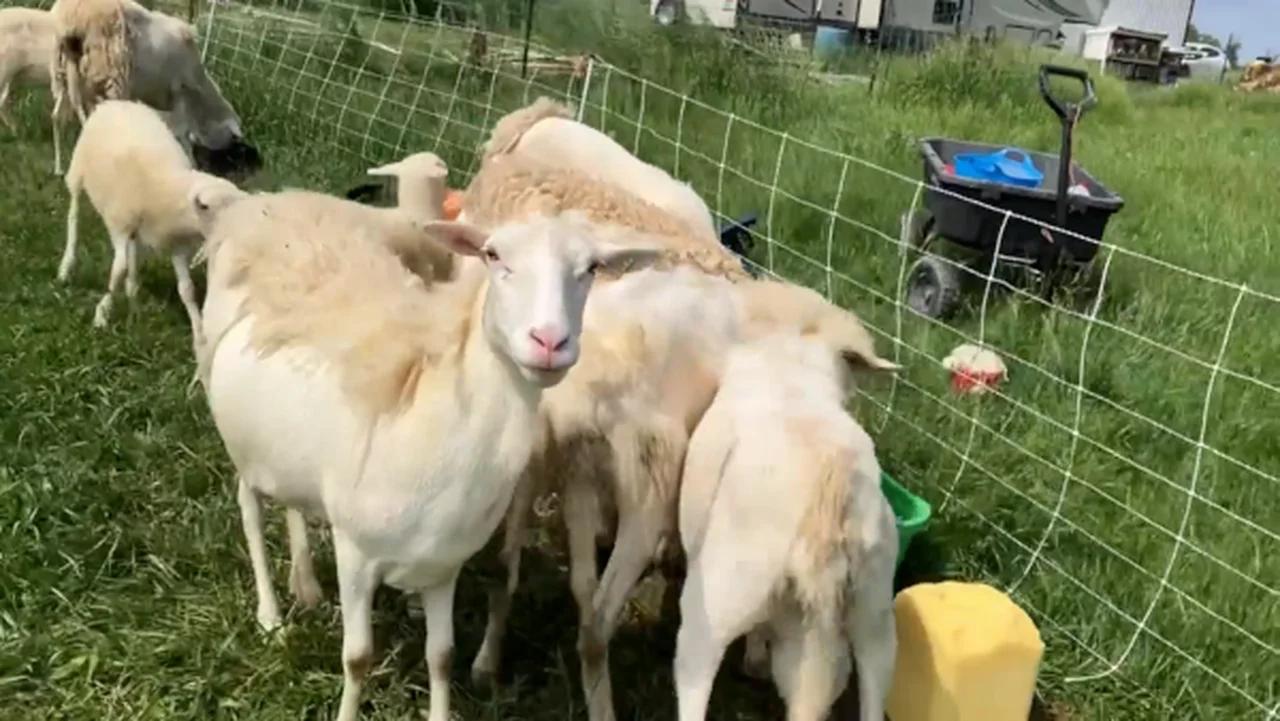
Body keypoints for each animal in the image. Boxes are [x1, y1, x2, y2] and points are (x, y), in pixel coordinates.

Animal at [47, 0, 256, 177]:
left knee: (57, 114)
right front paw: (192, 165)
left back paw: (58, 168)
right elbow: (182, 132)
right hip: (110, 73)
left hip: (62, 69)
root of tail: (70, 19)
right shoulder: (179, 90)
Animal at [57, 99, 239, 356]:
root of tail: (116, 103)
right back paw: (66, 267)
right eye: (206, 206)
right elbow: (118, 269)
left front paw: (199, 333)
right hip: (78, 170)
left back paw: (133, 291)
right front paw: (102, 314)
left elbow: (186, 289)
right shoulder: (121, 225)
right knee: (73, 216)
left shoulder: (175, 243)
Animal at [191, 182, 660, 721]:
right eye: (493, 255)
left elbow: (442, 657)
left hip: (287, 448)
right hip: (237, 437)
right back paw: (270, 618)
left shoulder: (443, 565)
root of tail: (267, 207)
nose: (549, 341)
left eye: (592, 268)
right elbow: (357, 658)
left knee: (292, 504)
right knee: (249, 511)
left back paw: (305, 585)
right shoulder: (356, 553)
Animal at [673, 310, 900, 721]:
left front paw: (754, 661)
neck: (792, 373)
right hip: (875, 616)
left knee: (694, 685)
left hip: (716, 600)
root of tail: (829, 503)